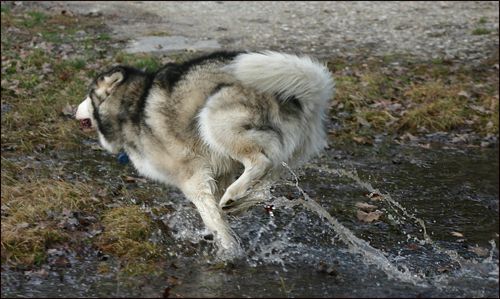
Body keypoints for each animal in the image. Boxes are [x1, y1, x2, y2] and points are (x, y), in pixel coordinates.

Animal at [75, 50, 332, 258]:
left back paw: (233, 195)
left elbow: (211, 216)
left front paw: (228, 249)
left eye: (88, 94)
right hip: (283, 157)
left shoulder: (192, 177)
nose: (73, 111)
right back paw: (236, 203)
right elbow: (218, 213)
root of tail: (299, 98)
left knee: (259, 161)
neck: (131, 105)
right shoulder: (219, 173)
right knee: (262, 189)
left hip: (214, 118)